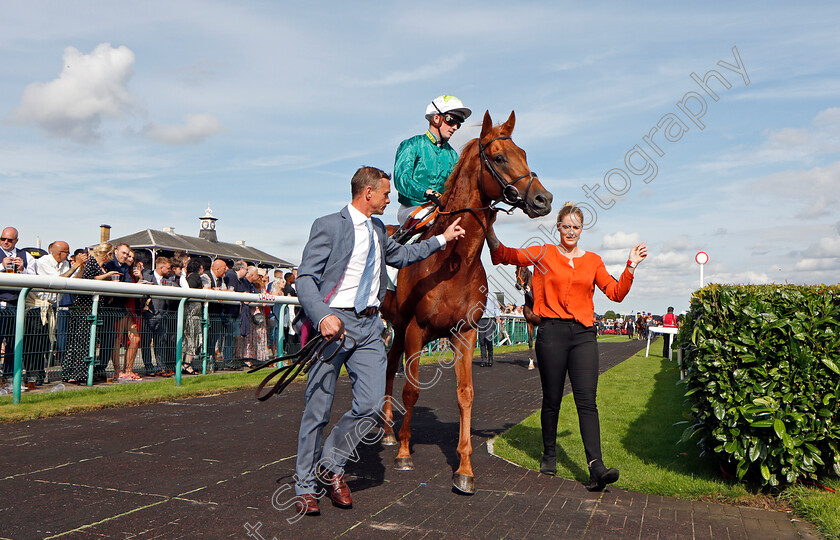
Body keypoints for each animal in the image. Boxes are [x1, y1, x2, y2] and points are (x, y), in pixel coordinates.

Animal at [378, 109, 552, 494]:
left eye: (525, 154)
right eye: (499, 157)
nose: (543, 199)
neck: (453, 261)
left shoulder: (465, 333)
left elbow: (466, 394)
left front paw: (465, 469)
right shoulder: (416, 329)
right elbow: (411, 391)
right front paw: (404, 452)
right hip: (392, 325)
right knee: (386, 370)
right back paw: (386, 431)